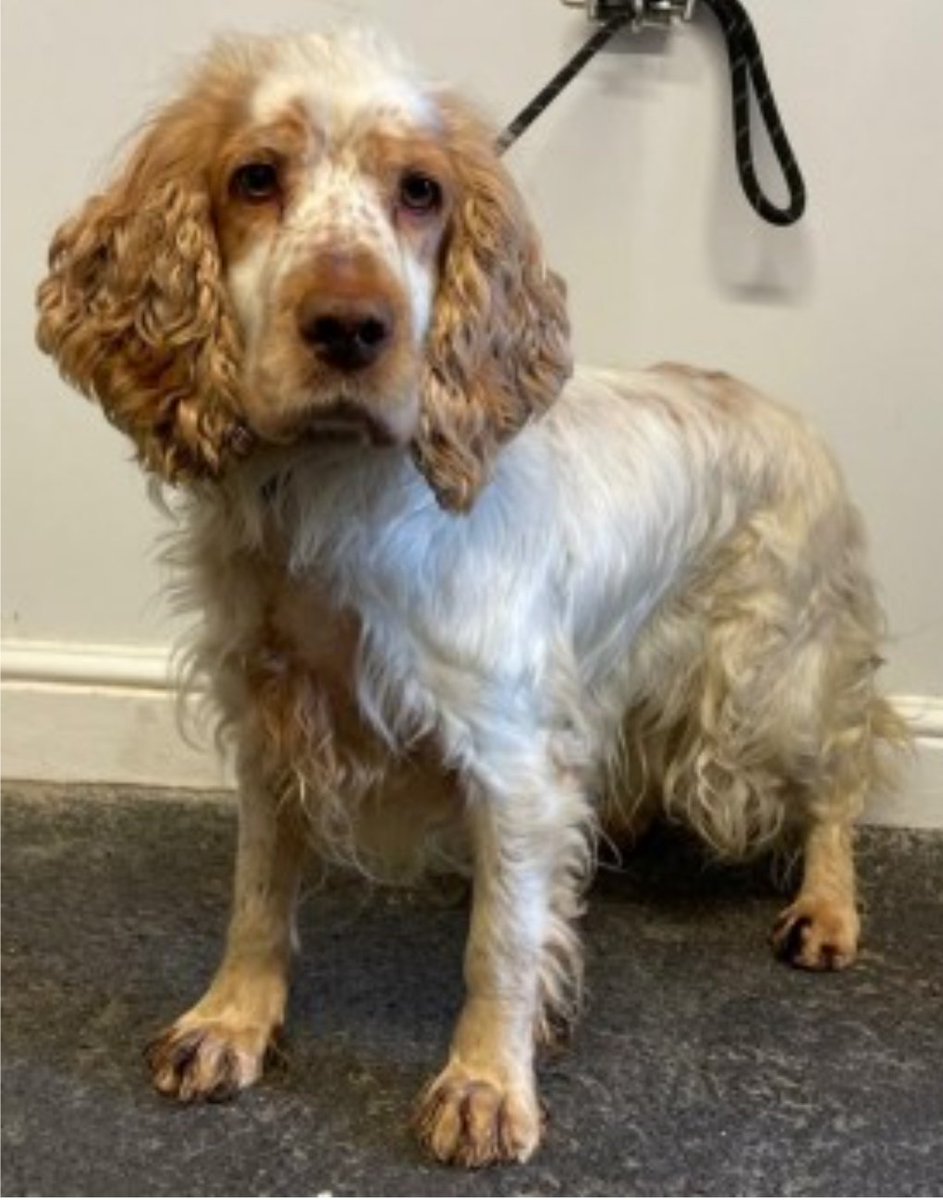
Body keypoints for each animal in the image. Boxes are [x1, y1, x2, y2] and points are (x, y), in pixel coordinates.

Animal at [36, 30, 902, 1171]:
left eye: (420, 191)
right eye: (255, 178)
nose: (351, 327)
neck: (332, 494)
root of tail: (781, 411)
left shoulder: (509, 756)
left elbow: (500, 941)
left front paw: (486, 1086)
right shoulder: (270, 724)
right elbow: (256, 895)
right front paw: (230, 1024)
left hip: (760, 687)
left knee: (839, 770)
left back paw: (825, 909)